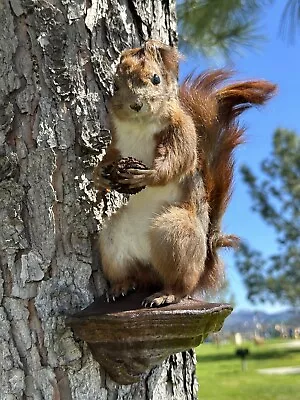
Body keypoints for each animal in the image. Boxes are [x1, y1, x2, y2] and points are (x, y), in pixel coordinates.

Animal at [92, 40, 276, 306]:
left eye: (156, 79)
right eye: (115, 85)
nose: (136, 104)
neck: (140, 125)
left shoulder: (182, 129)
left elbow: (178, 159)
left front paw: (147, 175)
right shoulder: (116, 141)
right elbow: (108, 156)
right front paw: (100, 175)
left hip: (175, 234)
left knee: (181, 284)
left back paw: (165, 295)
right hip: (112, 240)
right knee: (131, 274)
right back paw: (120, 286)